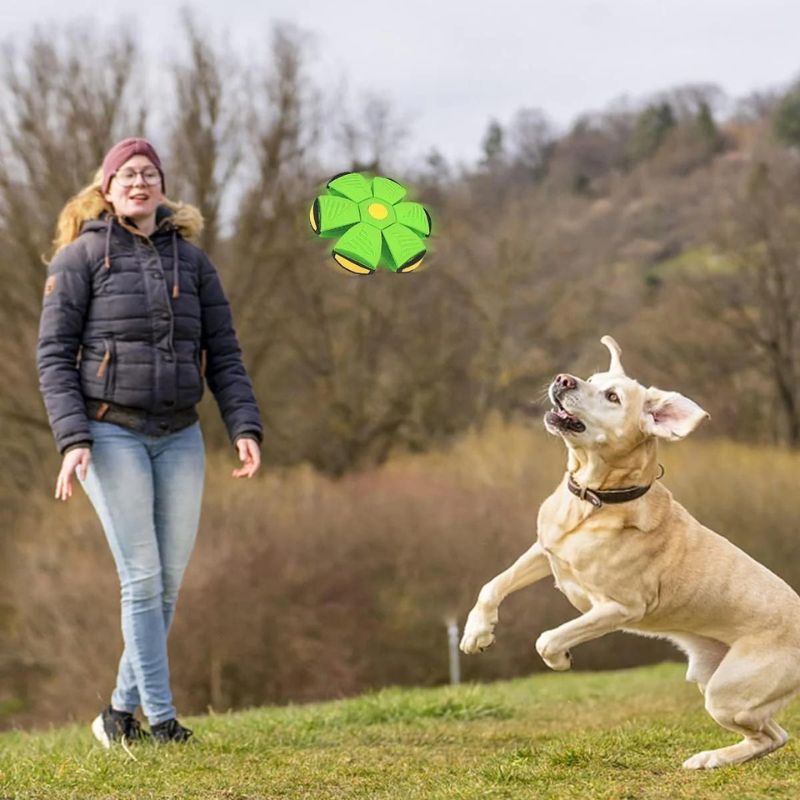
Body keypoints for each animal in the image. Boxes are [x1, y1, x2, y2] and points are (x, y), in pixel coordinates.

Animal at [460, 336, 800, 768]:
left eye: (612, 396)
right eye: (591, 379)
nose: (563, 379)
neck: (595, 499)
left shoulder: (619, 608)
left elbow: (548, 638)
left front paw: (560, 659)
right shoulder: (546, 550)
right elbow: (492, 585)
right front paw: (477, 633)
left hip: (728, 693)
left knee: (770, 736)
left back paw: (709, 758)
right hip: (715, 680)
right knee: (774, 732)